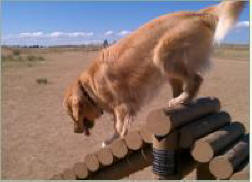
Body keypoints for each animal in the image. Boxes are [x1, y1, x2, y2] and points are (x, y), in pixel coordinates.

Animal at [63, 1, 246, 146]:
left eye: (72, 116)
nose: (75, 131)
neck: (89, 88)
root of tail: (197, 13)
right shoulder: (118, 108)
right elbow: (115, 127)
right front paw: (110, 140)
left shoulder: (122, 106)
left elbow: (120, 128)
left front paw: (118, 140)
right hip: (168, 70)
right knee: (186, 85)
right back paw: (178, 103)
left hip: (162, 55)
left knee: (196, 80)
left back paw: (180, 99)